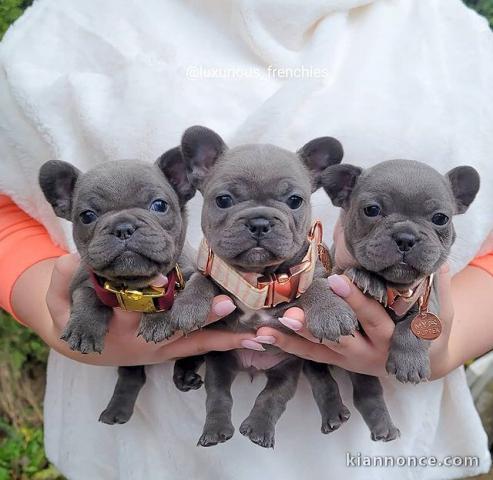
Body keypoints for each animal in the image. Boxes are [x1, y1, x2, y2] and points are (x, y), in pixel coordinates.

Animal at [37, 150, 195, 424]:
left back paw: (186, 375)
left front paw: (157, 320)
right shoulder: (82, 282)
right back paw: (116, 411)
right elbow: (88, 297)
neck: (135, 286)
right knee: (132, 376)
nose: (123, 227)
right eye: (87, 216)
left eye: (159, 205)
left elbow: (172, 296)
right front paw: (84, 329)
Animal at [167, 126, 398, 446]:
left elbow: (315, 284)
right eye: (223, 200)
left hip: (288, 367)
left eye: (294, 201)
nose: (259, 221)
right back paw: (216, 430)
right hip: (221, 363)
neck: (259, 278)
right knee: (219, 394)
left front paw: (330, 312)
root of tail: (253, 366)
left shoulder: (309, 269)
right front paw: (188, 306)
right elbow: (203, 278)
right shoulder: (215, 268)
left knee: (277, 394)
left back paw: (264, 428)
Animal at [320, 159, 478, 384]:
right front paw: (367, 279)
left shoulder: (430, 299)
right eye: (372, 210)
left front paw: (410, 362)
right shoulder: (337, 270)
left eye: (440, 218)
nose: (406, 237)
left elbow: (412, 326)